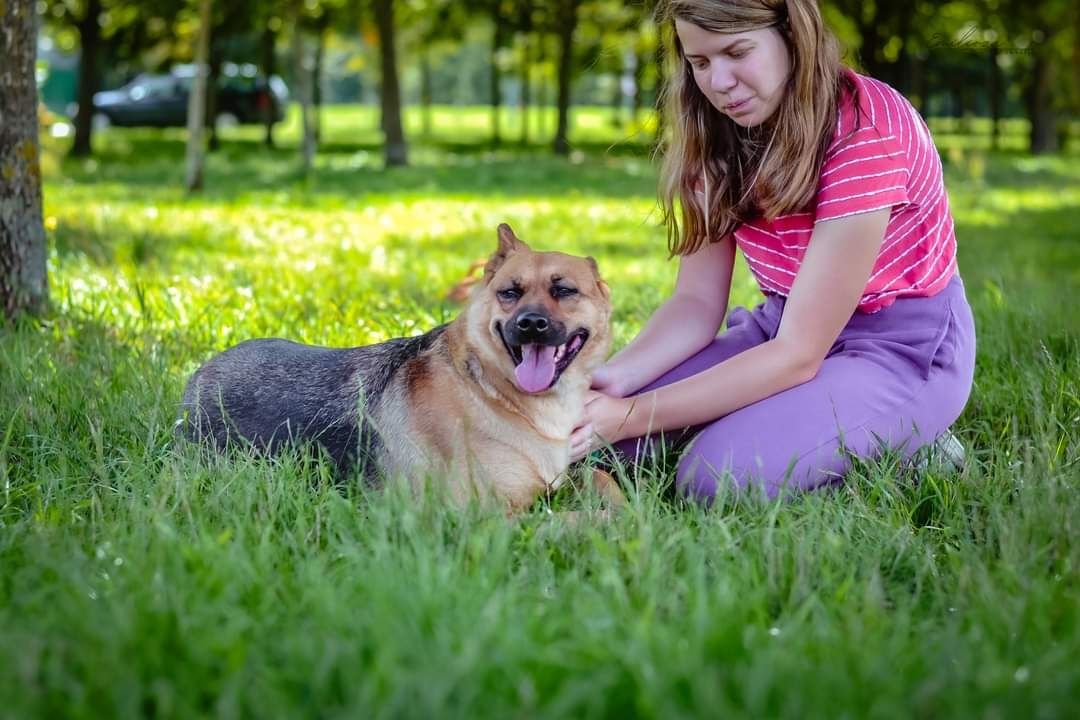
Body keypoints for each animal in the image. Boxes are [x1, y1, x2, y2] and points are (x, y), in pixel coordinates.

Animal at [179, 225, 626, 511]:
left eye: (564, 290)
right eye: (509, 293)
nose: (530, 324)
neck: (494, 390)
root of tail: (199, 374)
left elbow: (601, 478)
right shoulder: (484, 518)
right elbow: (576, 521)